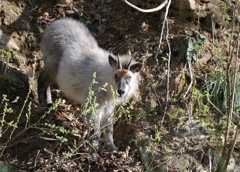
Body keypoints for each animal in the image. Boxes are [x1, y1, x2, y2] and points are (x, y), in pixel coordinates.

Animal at [38, 18, 142, 158]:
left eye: (129, 77)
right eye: (116, 76)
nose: (121, 92)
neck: (107, 80)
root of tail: (53, 26)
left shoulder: (109, 107)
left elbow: (109, 127)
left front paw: (111, 147)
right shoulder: (94, 106)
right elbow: (95, 130)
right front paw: (93, 153)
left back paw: (49, 104)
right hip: (52, 68)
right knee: (41, 80)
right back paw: (43, 105)